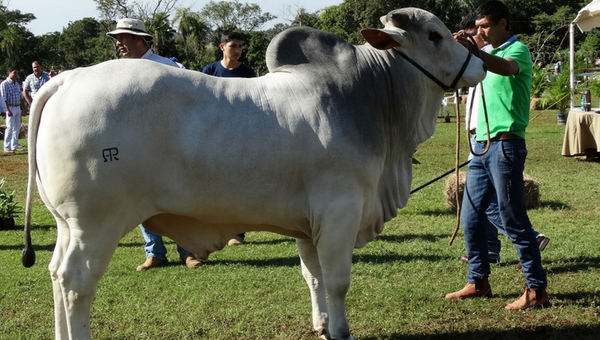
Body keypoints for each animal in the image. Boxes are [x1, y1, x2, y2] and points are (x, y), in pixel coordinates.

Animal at [23, 7, 486, 340]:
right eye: (435, 35)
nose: (479, 65)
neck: (370, 95)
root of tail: (66, 80)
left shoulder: (309, 225)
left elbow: (313, 277)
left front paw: (321, 326)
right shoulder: (340, 211)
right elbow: (337, 281)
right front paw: (340, 330)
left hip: (68, 224)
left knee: (55, 274)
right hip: (97, 224)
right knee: (75, 283)